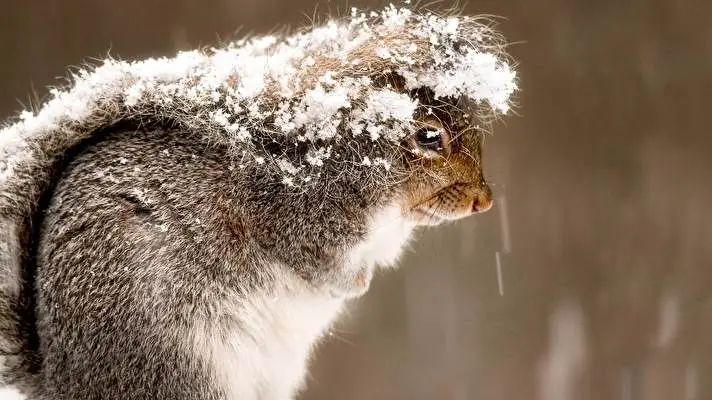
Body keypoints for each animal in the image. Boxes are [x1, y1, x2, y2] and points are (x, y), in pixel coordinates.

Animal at [0, 5, 517, 400]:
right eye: (428, 137)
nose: (485, 201)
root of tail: (63, 382)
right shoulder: (296, 221)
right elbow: (321, 267)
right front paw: (356, 283)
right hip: (178, 367)